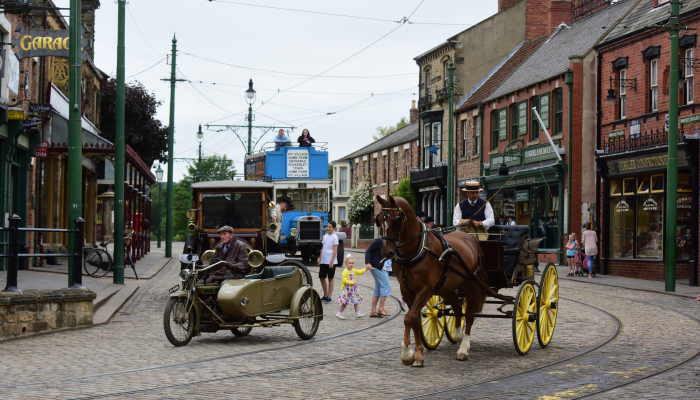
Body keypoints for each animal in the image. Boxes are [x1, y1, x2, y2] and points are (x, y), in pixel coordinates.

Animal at [378, 195, 486, 368]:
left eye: (396, 220)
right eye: (380, 219)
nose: (387, 252)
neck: (416, 250)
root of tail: (471, 238)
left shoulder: (425, 290)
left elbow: (409, 318)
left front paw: (407, 352)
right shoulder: (407, 291)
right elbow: (415, 320)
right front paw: (416, 355)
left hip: (471, 284)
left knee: (469, 314)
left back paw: (463, 348)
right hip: (447, 287)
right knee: (457, 307)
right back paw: (458, 335)